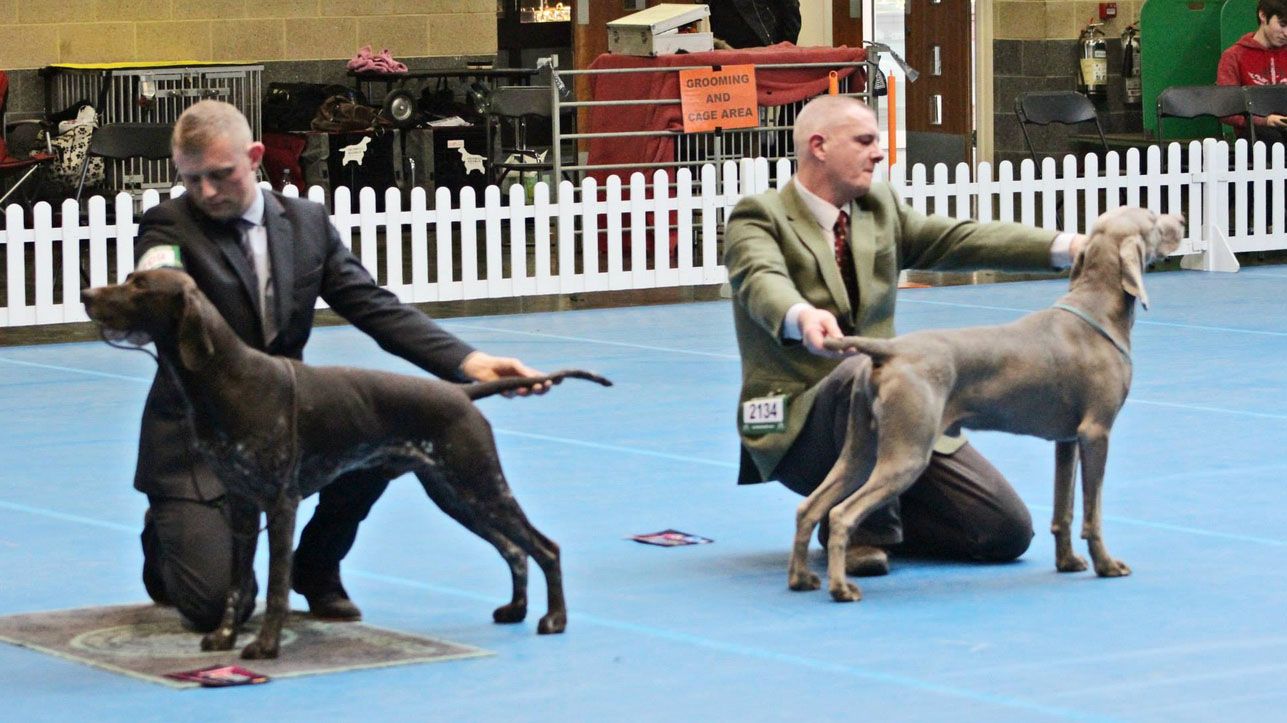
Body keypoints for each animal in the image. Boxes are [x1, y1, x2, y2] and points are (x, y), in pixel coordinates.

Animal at [82, 267, 612, 658]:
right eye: (128, 277)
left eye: (140, 285)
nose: (86, 293)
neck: (228, 378)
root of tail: (461, 392)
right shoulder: (240, 506)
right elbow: (234, 586)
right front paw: (225, 637)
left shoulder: (280, 503)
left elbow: (275, 585)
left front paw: (266, 645)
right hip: (455, 494)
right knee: (514, 550)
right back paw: (515, 609)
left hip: (480, 484)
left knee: (544, 547)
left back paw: (554, 619)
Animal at [787, 206, 1184, 602]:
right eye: (1152, 219)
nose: (1180, 220)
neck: (1097, 311)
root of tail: (889, 350)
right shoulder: (1096, 432)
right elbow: (1093, 512)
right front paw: (1106, 565)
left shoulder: (1067, 440)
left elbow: (1064, 510)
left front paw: (1067, 562)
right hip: (906, 453)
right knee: (841, 514)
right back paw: (841, 587)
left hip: (860, 448)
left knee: (810, 506)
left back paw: (801, 578)